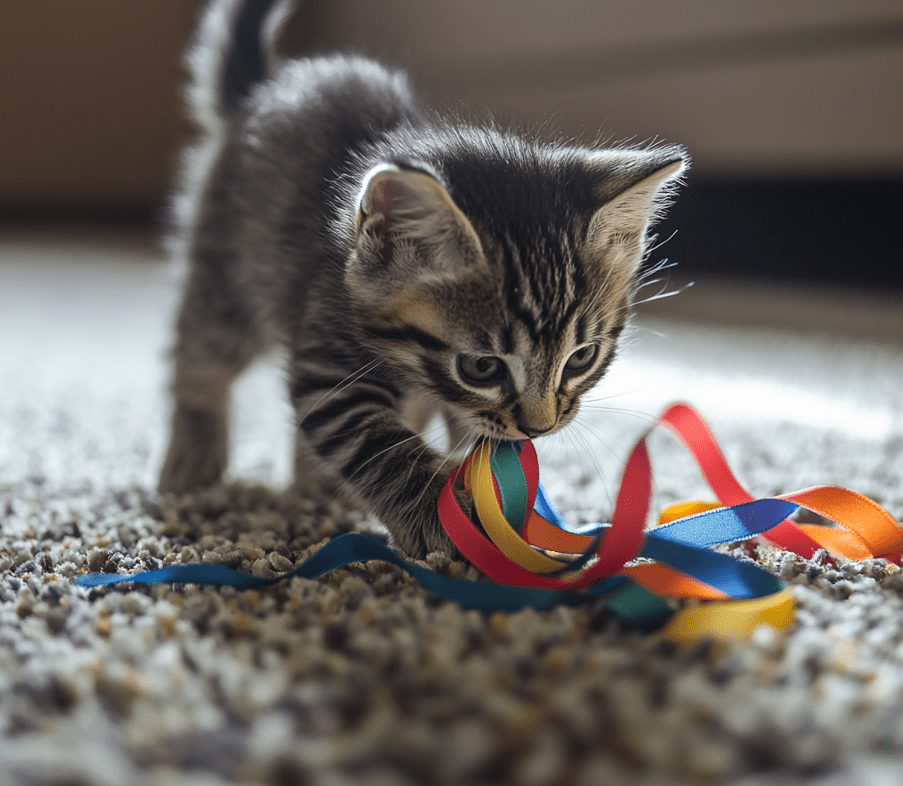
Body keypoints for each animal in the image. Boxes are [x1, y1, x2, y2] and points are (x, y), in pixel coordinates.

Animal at [161, 0, 684, 556]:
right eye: (481, 368)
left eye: (582, 358)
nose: (538, 429)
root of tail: (261, 91)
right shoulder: (329, 363)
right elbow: (379, 446)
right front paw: (443, 520)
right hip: (226, 281)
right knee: (200, 358)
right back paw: (193, 454)